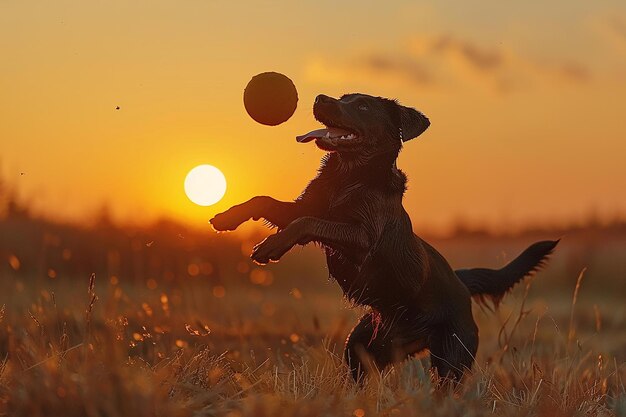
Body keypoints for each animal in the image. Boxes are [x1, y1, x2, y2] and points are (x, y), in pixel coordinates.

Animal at [210, 92, 556, 382]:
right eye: (343, 96)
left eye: (363, 106)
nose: (320, 97)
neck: (348, 176)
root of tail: (460, 282)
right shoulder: (304, 206)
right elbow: (264, 200)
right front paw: (227, 217)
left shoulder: (361, 239)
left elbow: (307, 223)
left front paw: (270, 246)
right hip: (360, 345)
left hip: (451, 359)